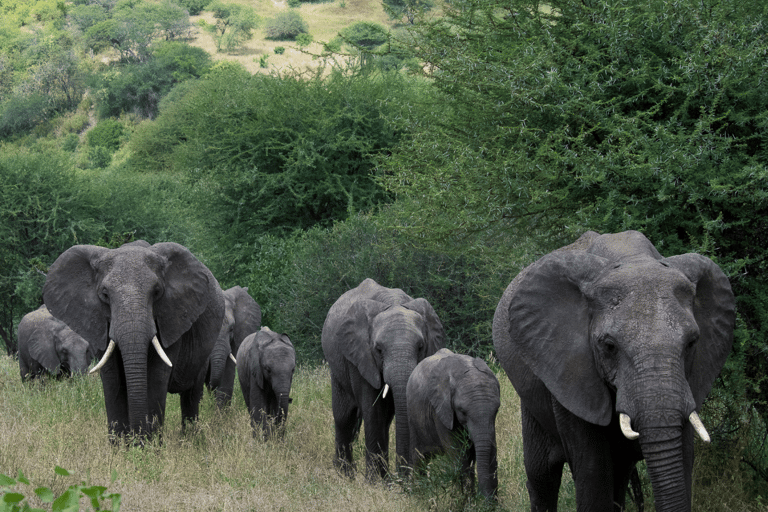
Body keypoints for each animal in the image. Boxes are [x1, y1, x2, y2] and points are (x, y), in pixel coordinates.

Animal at [42, 241, 224, 440]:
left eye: (157, 292)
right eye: (105, 294)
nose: (137, 439)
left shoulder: (171, 318)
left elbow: (155, 380)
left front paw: (149, 445)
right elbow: (112, 381)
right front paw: (121, 446)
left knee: (191, 395)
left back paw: (190, 439)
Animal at [320, 278, 444, 478]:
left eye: (420, 347)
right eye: (378, 349)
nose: (402, 477)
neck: (393, 302)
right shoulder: (360, 356)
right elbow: (373, 411)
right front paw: (376, 481)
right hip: (337, 366)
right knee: (344, 417)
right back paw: (345, 474)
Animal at [404, 348, 500, 500]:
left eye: (497, 410)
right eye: (462, 411)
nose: (484, 499)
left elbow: (487, 453)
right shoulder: (441, 411)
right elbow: (460, 456)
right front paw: (467, 502)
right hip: (413, 416)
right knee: (418, 458)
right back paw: (417, 496)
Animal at [492, 231, 736, 512]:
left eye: (692, 343)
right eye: (609, 346)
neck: (631, 257)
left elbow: (683, 459)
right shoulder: (570, 372)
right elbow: (593, 473)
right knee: (542, 477)